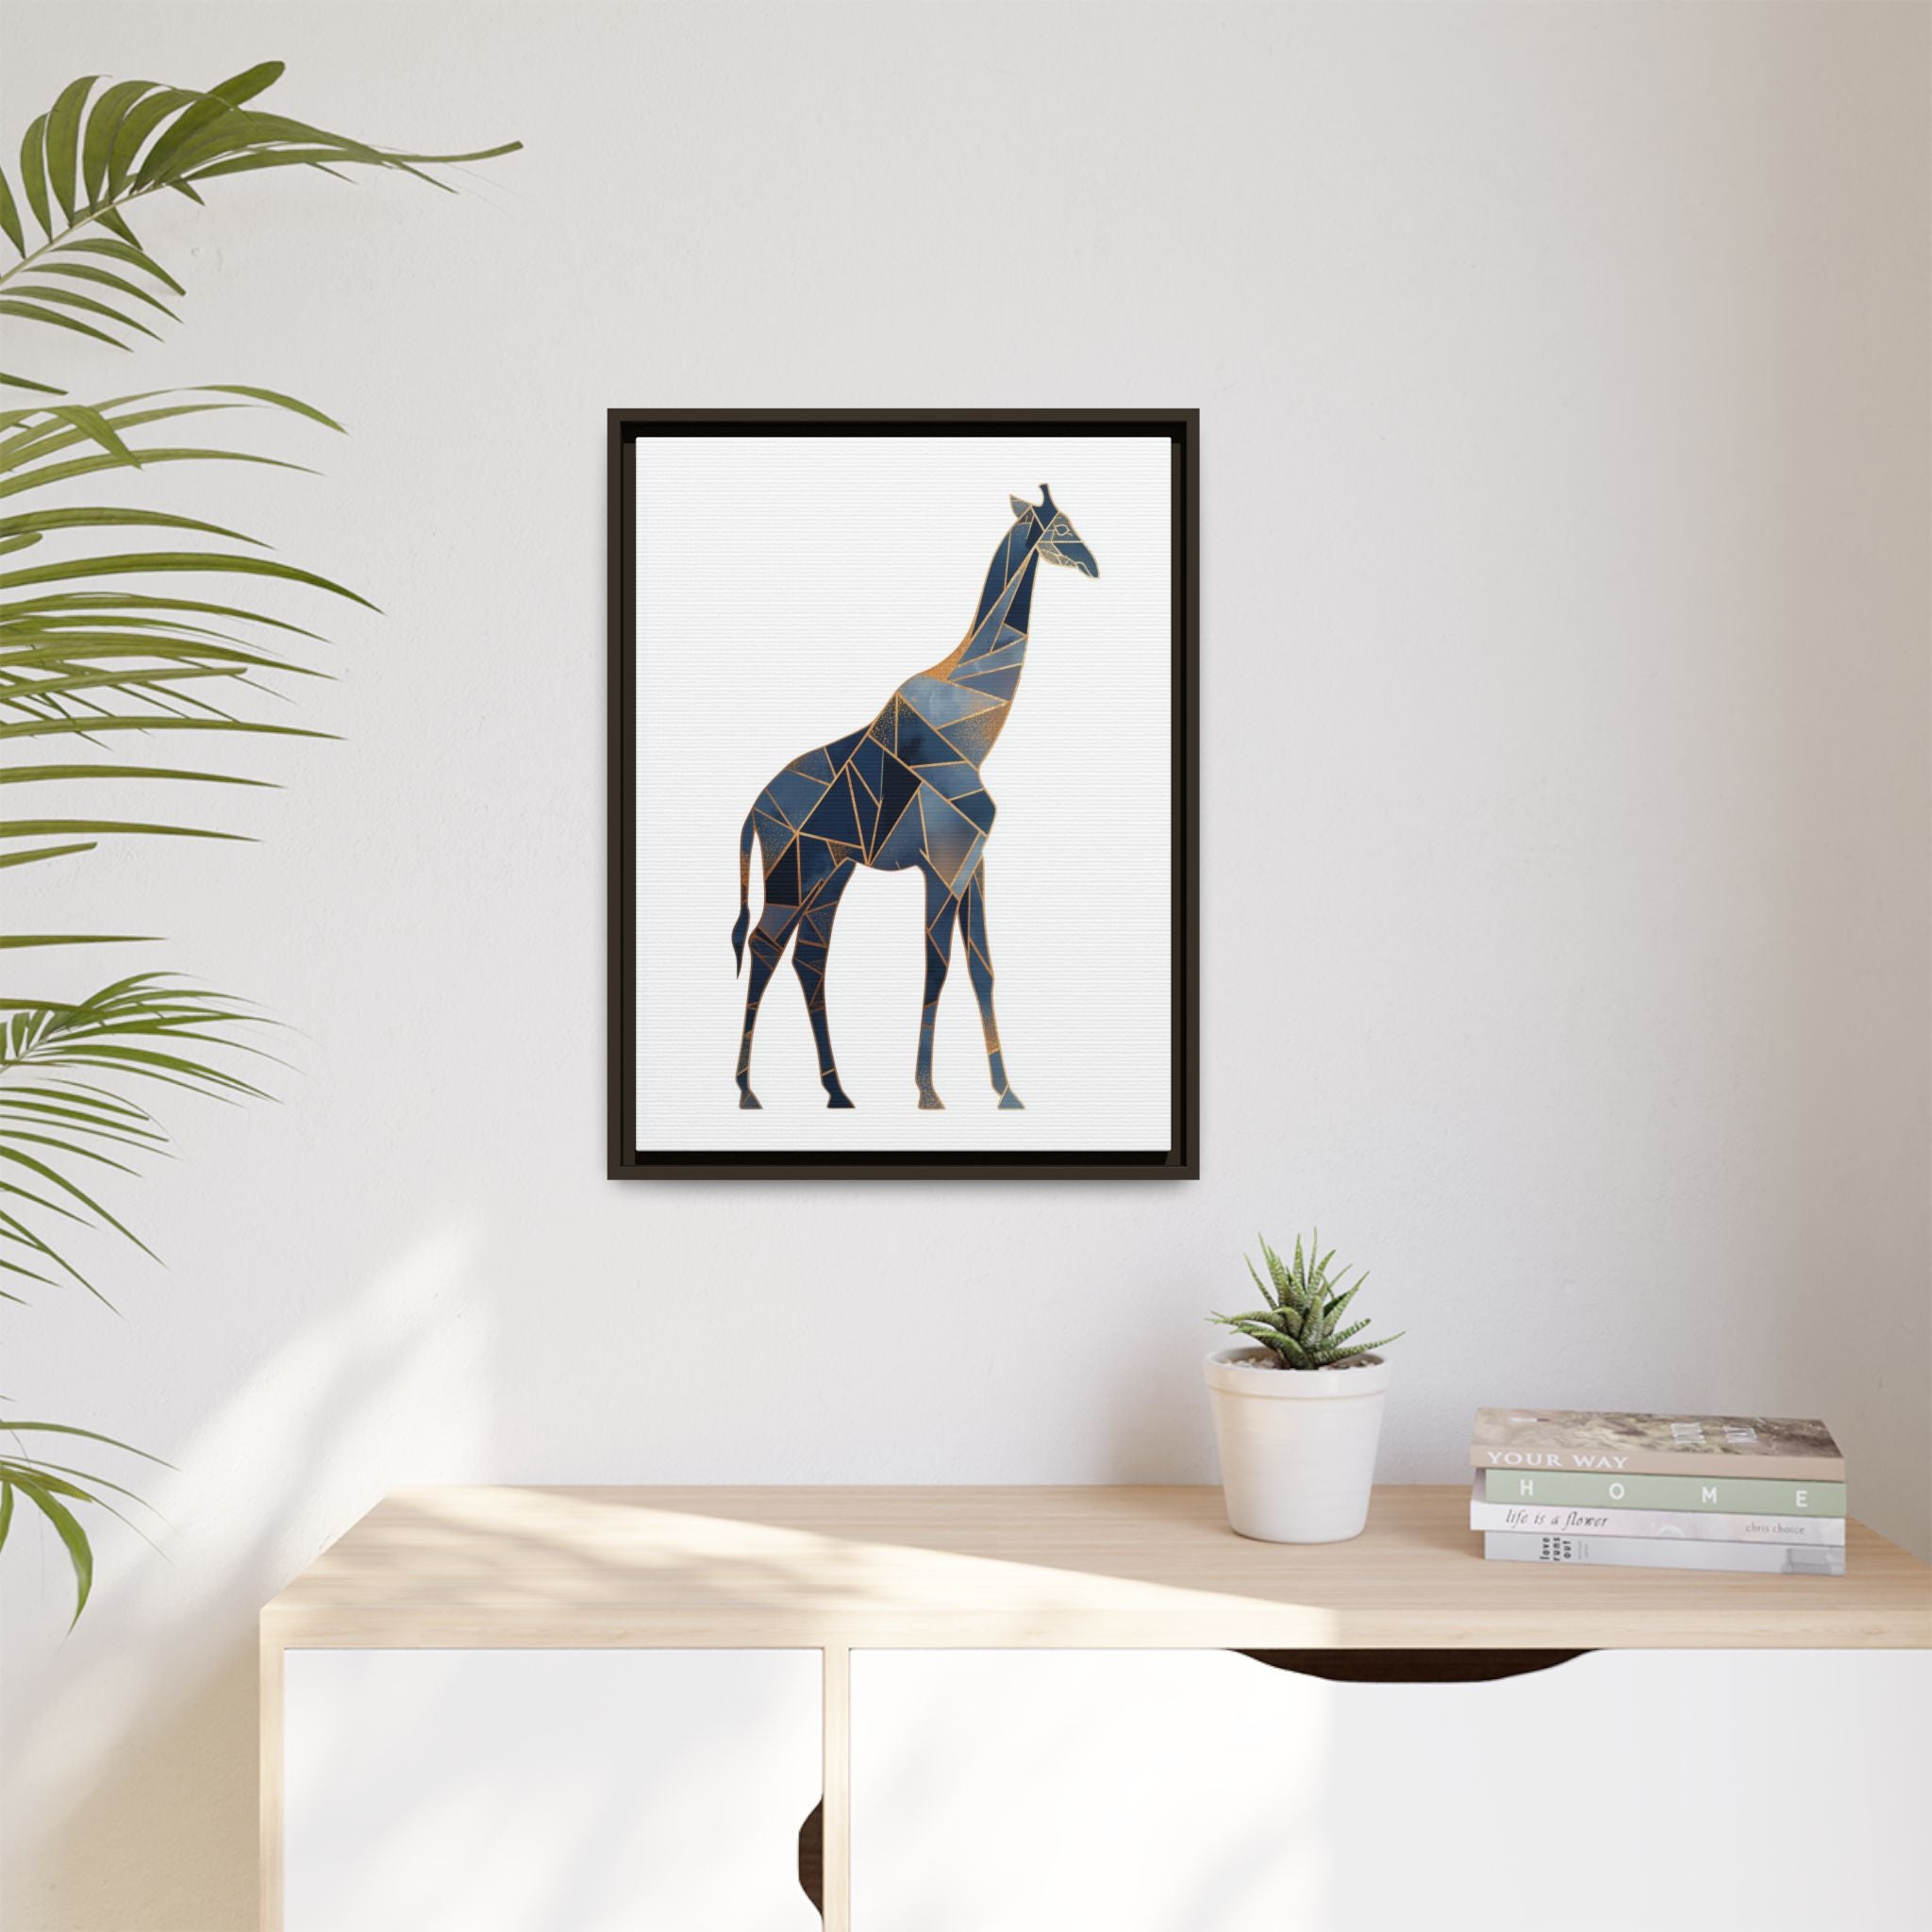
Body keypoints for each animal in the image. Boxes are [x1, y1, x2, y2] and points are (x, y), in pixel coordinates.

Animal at [730, 487, 1099, 1110]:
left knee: (809, 957)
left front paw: (1006, 1092)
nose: (1093, 564)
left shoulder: (972, 863)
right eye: (1061, 526)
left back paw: (837, 1091)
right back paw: (748, 1091)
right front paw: (928, 1092)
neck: (973, 729)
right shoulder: (943, 863)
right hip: (792, 874)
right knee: (763, 947)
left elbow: (981, 967)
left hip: (830, 875)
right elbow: (938, 966)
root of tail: (754, 812)